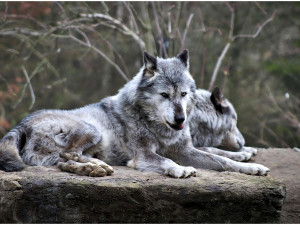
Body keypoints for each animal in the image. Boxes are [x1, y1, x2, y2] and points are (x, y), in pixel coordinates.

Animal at [0, 49, 270, 178]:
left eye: (183, 94)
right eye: (164, 95)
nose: (180, 119)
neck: (156, 125)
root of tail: (22, 124)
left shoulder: (185, 149)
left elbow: (222, 160)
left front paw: (250, 165)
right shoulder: (145, 155)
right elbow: (166, 161)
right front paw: (179, 170)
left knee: (66, 160)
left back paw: (94, 168)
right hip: (92, 130)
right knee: (68, 156)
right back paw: (96, 167)